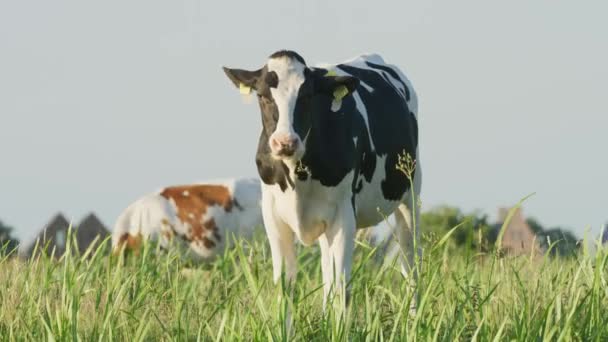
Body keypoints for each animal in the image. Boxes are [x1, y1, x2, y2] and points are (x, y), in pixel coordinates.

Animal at [222, 51, 418, 310]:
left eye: (306, 96)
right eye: (262, 95)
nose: (285, 142)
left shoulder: (344, 215)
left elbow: (341, 290)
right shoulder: (273, 217)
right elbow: (285, 288)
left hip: (411, 193)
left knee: (410, 262)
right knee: (327, 272)